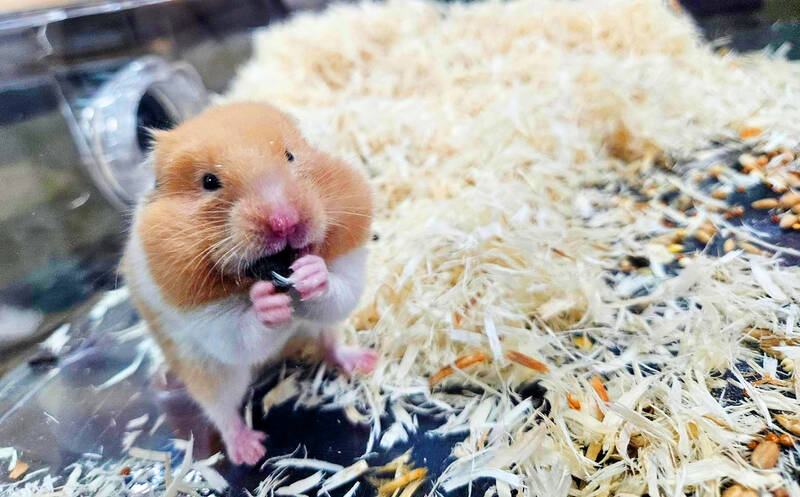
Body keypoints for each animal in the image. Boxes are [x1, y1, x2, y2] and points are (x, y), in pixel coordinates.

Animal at [121, 102, 377, 465]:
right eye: (209, 181)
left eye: (290, 156)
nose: (284, 221)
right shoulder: (206, 321)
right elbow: (241, 333)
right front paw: (266, 303)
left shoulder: (348, 263)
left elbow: (340, 291)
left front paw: (311, 272)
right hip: (211, 374)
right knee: (222, 411)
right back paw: (250, 451)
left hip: (324, 330)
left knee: (329, 342)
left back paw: (364, 362)